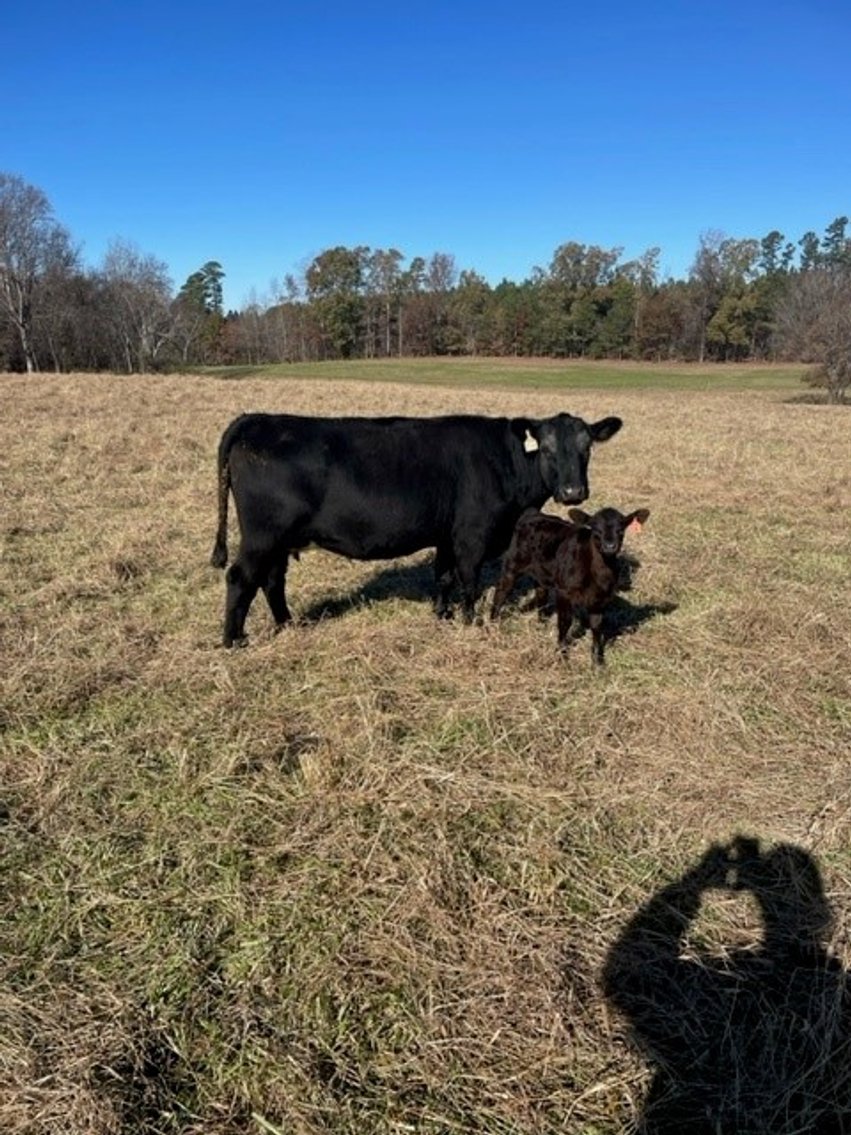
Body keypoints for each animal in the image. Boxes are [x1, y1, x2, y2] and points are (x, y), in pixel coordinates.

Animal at [210, 410, 623, 646]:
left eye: (587, 447)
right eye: (548, 447)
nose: (573, 491)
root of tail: (257, 419)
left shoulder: (446, 535)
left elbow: (443, 576)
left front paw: (441, 615)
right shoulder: (471, 536)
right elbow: (468, 582)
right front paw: (469, 622)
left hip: (278, 540)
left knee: (271, 580)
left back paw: (287, 624)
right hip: (262, 536)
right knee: (241, 578)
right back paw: (233, 640)